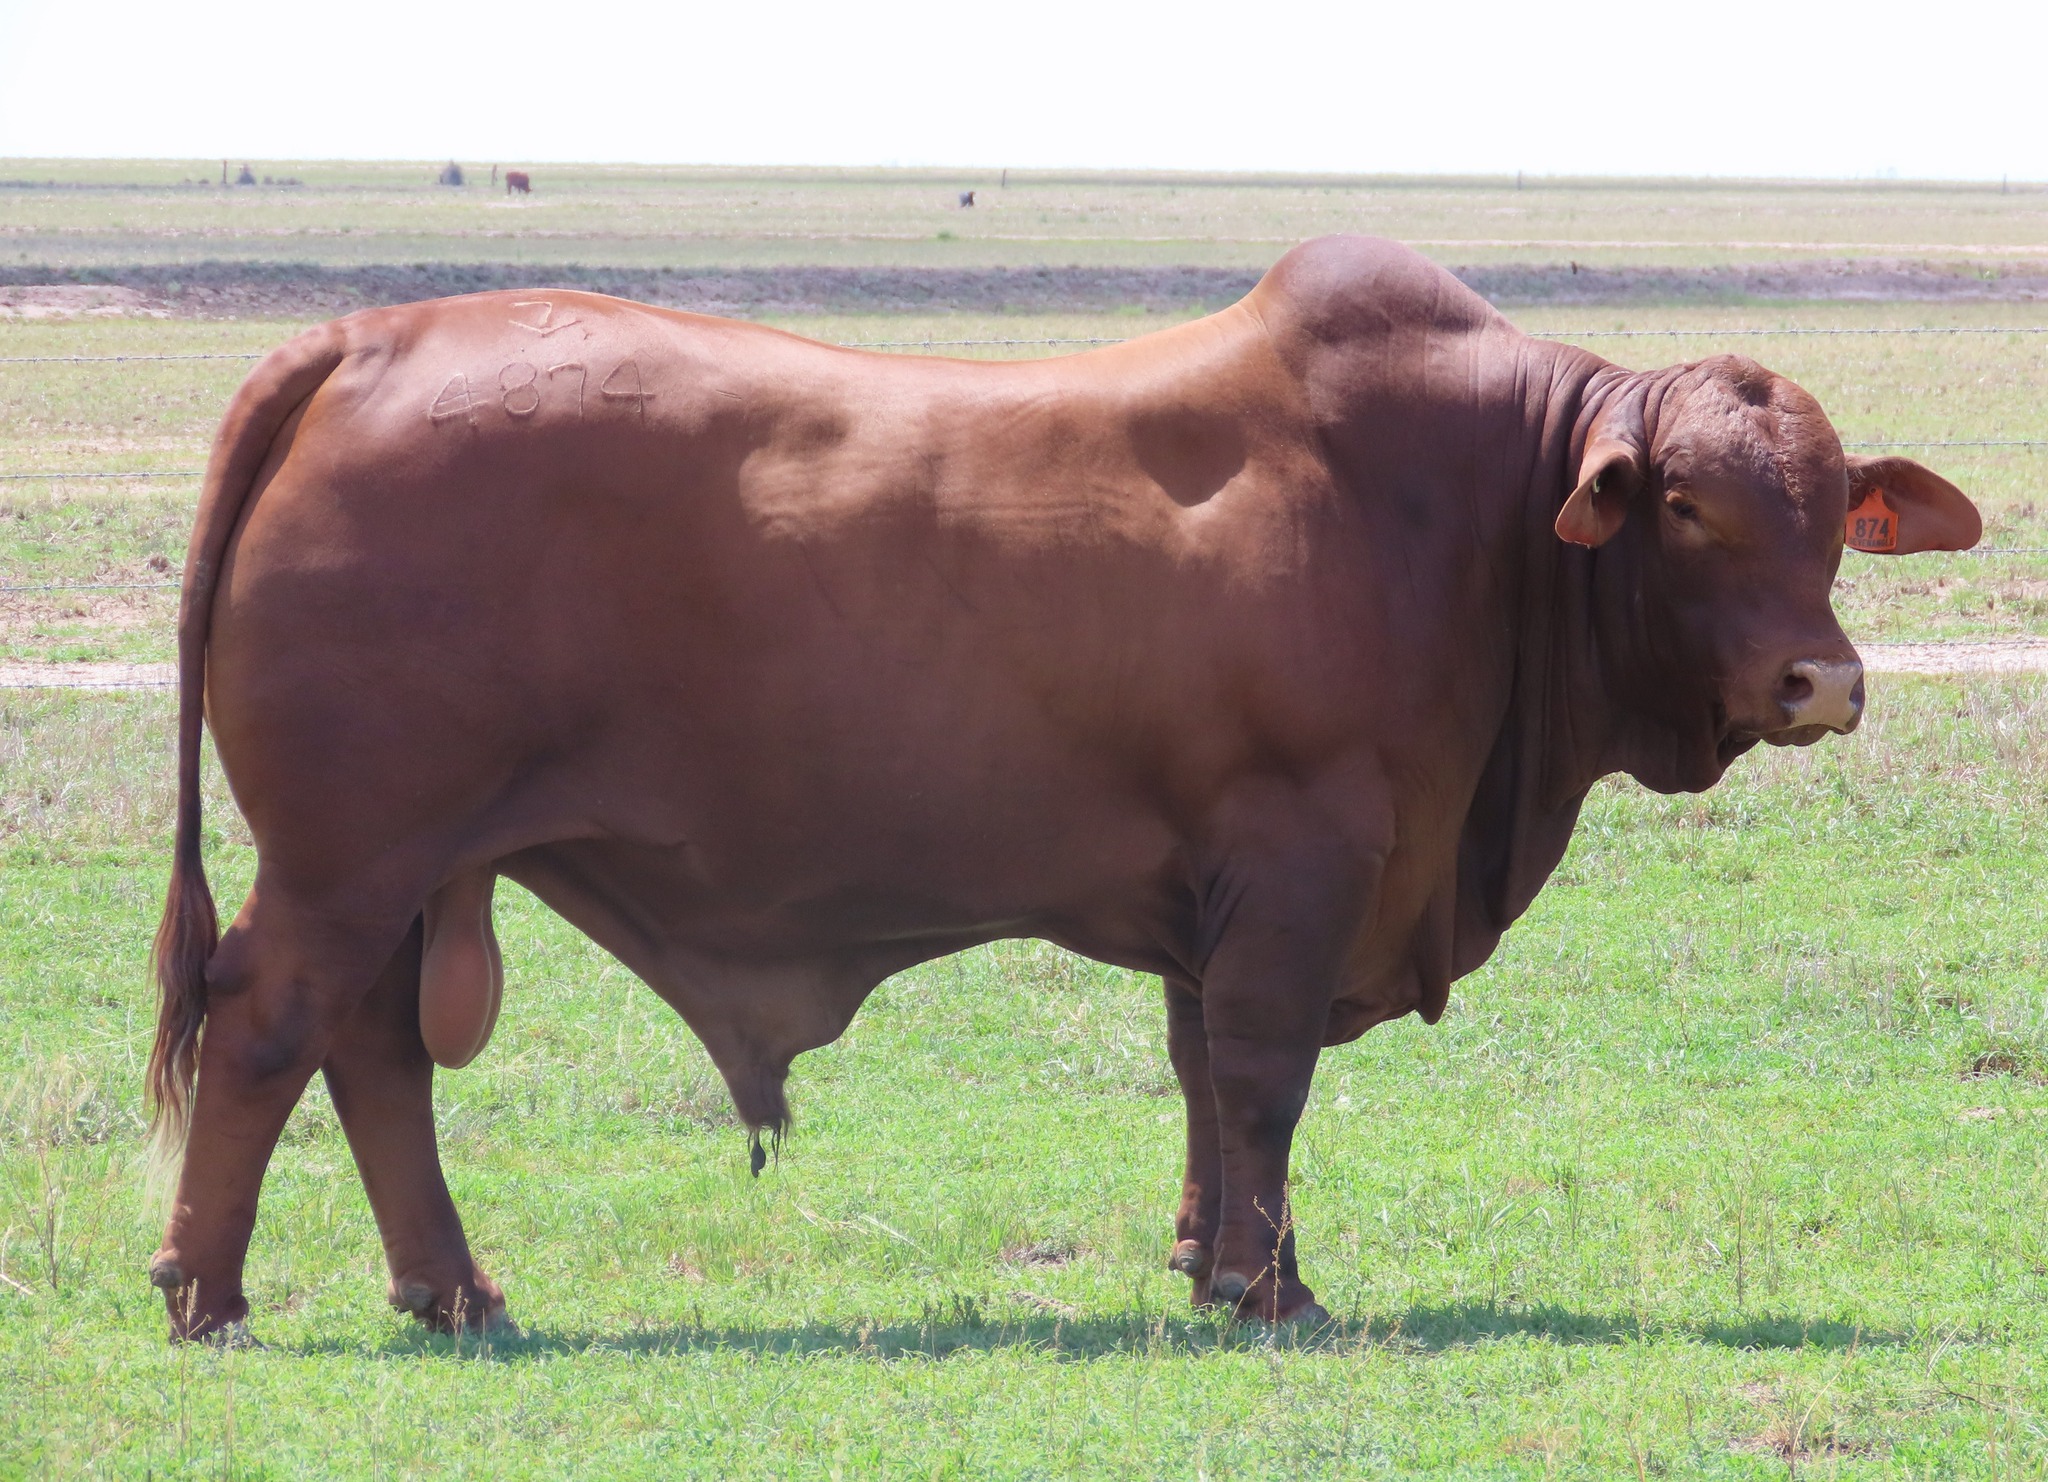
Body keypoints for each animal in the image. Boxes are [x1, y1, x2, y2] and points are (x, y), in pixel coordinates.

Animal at [143, 236, 1980, 1342]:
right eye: (1685, 504)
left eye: (1830, 508)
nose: (1822, 681)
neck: (1465, 513)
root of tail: (364, 336)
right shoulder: (1302, 853)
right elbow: (1261, 1073)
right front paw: (1268, 1287)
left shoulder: (1213, 888)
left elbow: (1204, 1078)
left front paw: (1216, 1258)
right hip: (346, 860)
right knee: (273, 1026)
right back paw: (207, 1288)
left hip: (402, 869)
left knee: (376, 1056)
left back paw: (450, 1290)